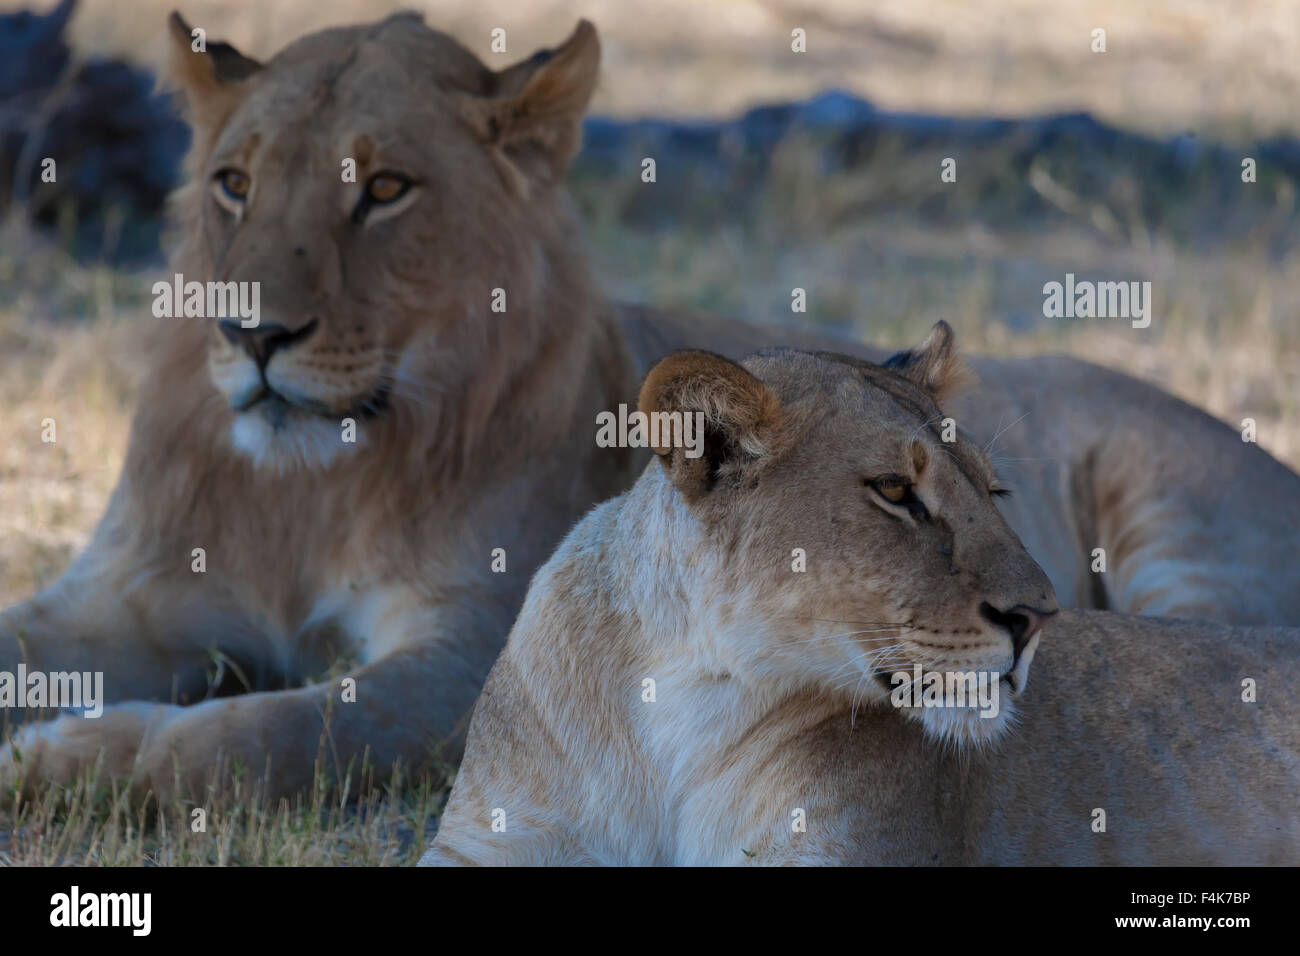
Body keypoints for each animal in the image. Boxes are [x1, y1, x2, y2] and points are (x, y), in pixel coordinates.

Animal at [2, 10, 1299, 806]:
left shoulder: (471, 652)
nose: (251, 334)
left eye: (385, 189)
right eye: (231, 184)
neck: (307, 487)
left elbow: (274, 730)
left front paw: (58, 756)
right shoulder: (125, 594)